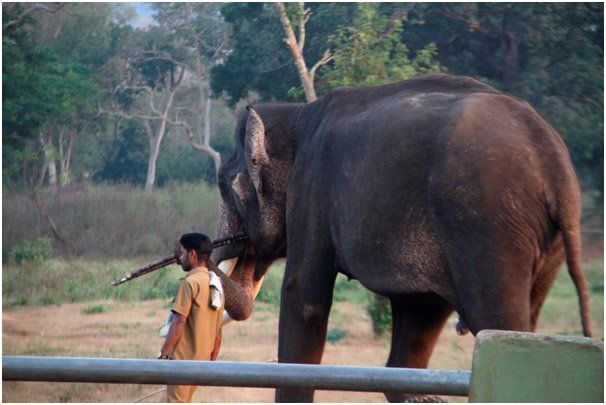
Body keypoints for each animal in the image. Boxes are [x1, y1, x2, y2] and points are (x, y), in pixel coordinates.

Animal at [210, 73, 592, 400]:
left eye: (223, 184)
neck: (297, 115)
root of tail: (555, 166)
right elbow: (417, 316)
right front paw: (426, 396)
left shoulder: (311, 188)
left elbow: (304, 299)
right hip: (541, 242)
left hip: (486, 225)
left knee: (502, 323)